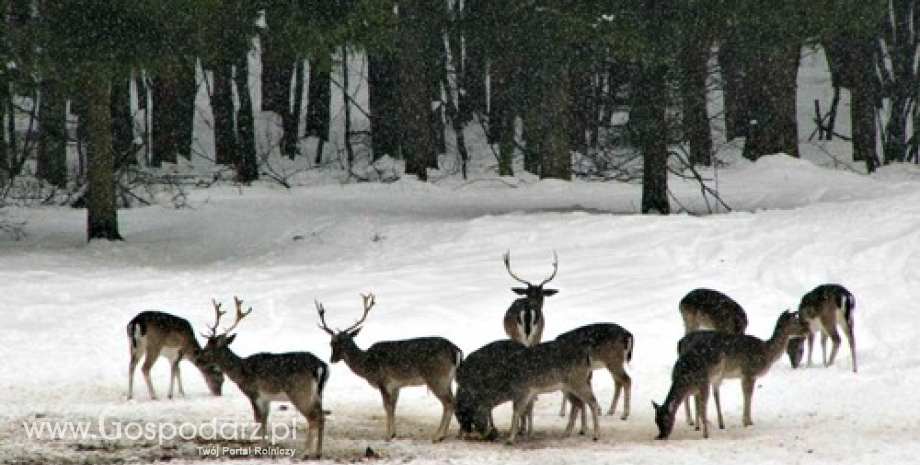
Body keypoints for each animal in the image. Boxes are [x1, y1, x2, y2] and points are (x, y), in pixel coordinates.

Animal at [194, 298, 328, 456]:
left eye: (208, 348)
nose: (197, 359)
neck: (241, 371)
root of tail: (320, 366)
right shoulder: (267, 398)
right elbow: (264, 421)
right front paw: (264, 446)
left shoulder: (254, 393)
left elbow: (258, 420)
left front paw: (259, 448)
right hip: (318, 393)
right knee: (321, 416)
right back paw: (318, 452)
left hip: (300, 392)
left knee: (313, 417)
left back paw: (305, 452)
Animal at [316, 294, 464, 442]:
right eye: (332, 343)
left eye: (339, 343)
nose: (332, 359)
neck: (366, 364)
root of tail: (456, 350)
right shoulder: (396, 385)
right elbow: (393, 407)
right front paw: (393, 433)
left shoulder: (383, 380)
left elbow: (387, 406)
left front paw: (388, 435)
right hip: (447, 379)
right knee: (453, 401)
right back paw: (451, 434)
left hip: (437, 377)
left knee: (449, 402)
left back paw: (439, 436)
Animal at [454, 338, 600, 442]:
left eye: (470, 413)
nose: (485, 432)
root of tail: (587, 356)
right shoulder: (528, 393)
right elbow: (525, 411)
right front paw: (525, 434)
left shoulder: (523, 390)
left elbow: (517, 411)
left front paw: (510, 439)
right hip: (568, 386)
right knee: (578, 403)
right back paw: (566, 433)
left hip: (578, 381)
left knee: (592, 402)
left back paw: (595, 435)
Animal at [676, 310, 812, 430]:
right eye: (797, 320)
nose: (808, 330)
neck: (766, 352)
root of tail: (680, 343)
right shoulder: (749, 372)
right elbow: (747, 395)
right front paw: (747, 421)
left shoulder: (748, 375)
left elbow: (748, 395)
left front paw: (747, 420)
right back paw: (692, 421)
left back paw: (695, 421)